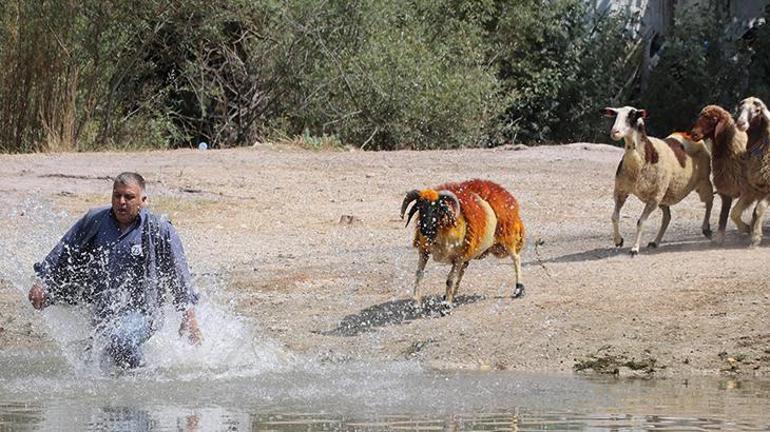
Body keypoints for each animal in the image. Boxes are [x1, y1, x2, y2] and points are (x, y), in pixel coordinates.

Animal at [400, 179, 524, 308]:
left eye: (437, 209)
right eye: (420, 207)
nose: (425, 229)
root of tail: (503, 192)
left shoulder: (458, 257)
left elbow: (450, 280)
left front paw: (446, 306)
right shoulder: (424, 251)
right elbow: (419, 274)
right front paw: (416, 302)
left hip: (506, 238)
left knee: (516, 258)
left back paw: (519, 289)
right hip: (471, 248)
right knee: (463, 270)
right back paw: (452, 294)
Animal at [604, 106, 712, 255]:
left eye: (632, 116)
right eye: (615, 115)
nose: (615, 132)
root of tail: (688, 134)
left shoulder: (653, 198)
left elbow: (640, 222)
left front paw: (635, 248)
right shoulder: (621, 192)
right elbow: (614, 217)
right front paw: (618, 240)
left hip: (703, 181)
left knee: (709, 202)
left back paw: (707, 229)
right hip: (665, 194)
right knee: (667, 217)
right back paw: (655, 242)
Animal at [688, 102, 748, 241]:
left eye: (713, 119)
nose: (693, 134)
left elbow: (734, 213)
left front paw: (746, 228)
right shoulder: (726, 190)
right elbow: (723, 215)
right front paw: (719, 237)